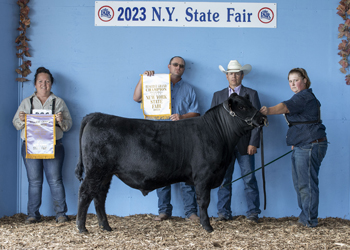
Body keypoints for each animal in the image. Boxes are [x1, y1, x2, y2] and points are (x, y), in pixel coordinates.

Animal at [75, 93, 266, 232]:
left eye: (250, 104)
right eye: (242, 107)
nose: (263, 118)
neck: (218, 133)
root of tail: (96, 116)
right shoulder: (203, 175)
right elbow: (203, 201)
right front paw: (207, 227)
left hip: (106, 173)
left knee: (99, 196)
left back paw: (106, 227)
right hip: (96, 169)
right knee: (85, 193)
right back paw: (82, 228)